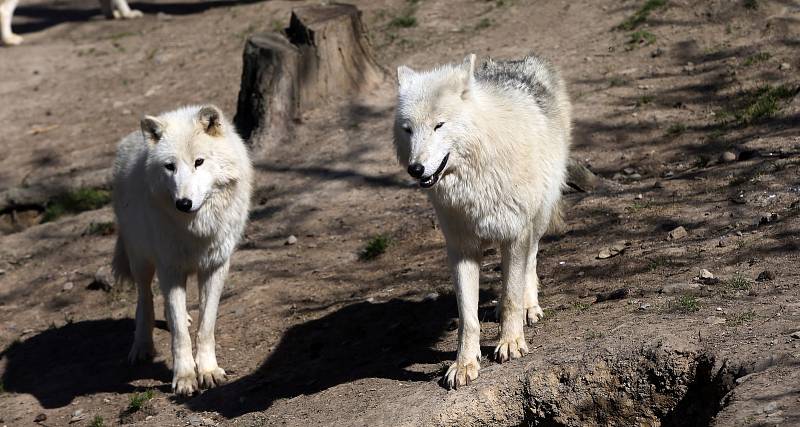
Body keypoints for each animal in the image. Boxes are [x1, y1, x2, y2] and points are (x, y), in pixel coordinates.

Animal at [111, 105, 252, 396]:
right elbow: (178, 334)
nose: (183, 203)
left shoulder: (215, 267)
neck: (196, 229)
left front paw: (208, 371)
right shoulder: (170, 267)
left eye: (199, 162)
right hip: (141, 258)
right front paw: (185, 377)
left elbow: (205, 326)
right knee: (145, 298)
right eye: (170, 167)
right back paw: (142, 346)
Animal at [392, 54, 568, 392]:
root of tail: (519, 60)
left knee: (530, 263)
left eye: (439, 125)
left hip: (537, 216)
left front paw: (510, 342)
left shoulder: (515, 233)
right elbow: (468, 317)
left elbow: (512, 294)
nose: (415, 168)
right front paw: (464, 364)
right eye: (408, 129)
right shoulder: (461, 248)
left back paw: (529, 307)